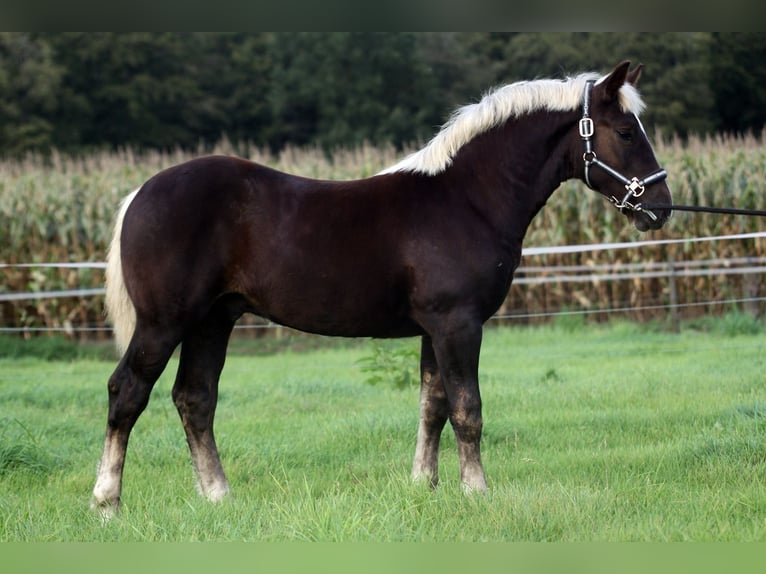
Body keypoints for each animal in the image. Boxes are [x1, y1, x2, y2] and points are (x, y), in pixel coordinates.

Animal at [93, 60, 676, 516]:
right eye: (626, 132)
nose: (660, 207)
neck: (466, 200)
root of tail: (141, 193)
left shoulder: (433, 329)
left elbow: (432, 406)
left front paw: (425, 486)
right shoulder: (458, 324)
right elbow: (467, 408)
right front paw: (477, 491)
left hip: (213, 320)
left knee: (194, 398)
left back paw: (218, 496)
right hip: (164, 322)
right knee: (128, 392)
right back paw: (107, 502)